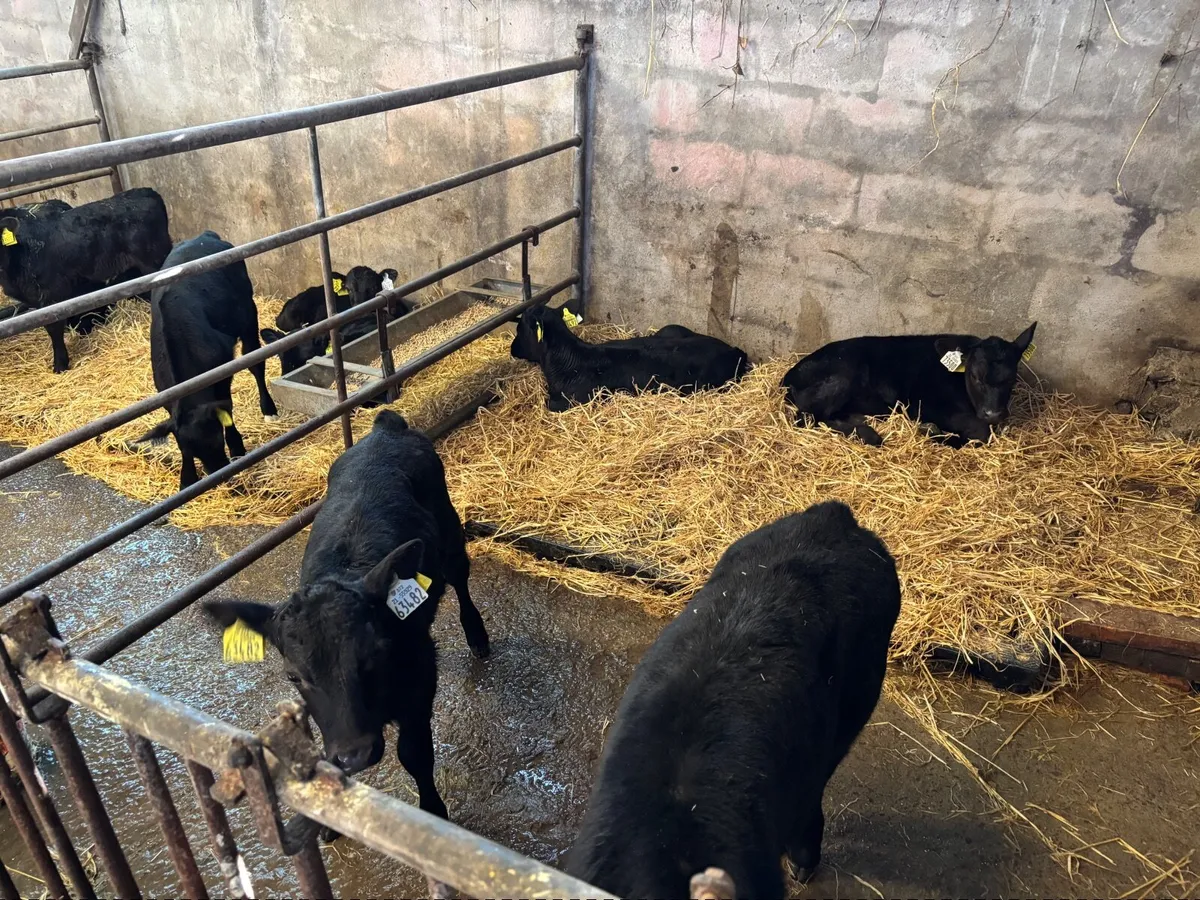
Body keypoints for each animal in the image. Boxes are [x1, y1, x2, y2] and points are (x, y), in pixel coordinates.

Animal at [135, 231, 277, 489]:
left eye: (217, 439)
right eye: (192, 451)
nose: (217, 473)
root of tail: (205, 236)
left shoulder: (221, 371)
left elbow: (227, 405)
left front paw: (237, 447)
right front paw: (187, 479)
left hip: (248, 315)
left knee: (255, 363)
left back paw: (268, 409)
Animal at [203, 410, 490, 827]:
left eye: (374, 655)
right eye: (294, 676)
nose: (355, 754)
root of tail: (385, 427)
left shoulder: (421, 673)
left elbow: (415, 752)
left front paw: (433, 811)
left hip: (450, 532)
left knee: (460, 577)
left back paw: (477, 635)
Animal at [780, 323, 1038, 448]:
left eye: (1011, 378)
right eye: (974, 376)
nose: (993, 413)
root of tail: (789, 375)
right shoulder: (926, 405)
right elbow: (981, 432)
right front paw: (934, 433)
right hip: (840, 377)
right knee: (806, 418)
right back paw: (868, 434)